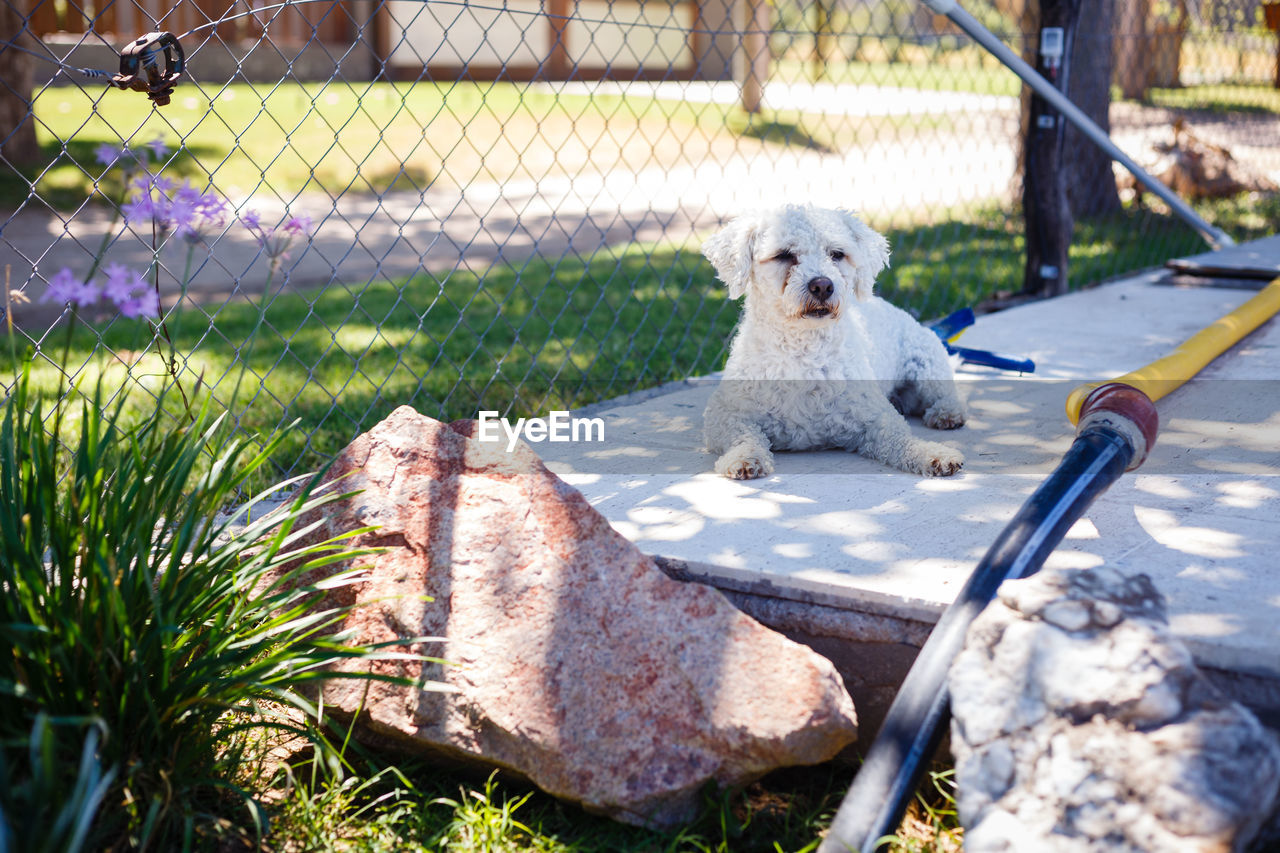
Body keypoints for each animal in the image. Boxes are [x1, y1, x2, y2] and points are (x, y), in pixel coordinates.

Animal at [706, 202, 962, 473]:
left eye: (837, 254)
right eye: (783, 254)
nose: (822, 285)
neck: (803, 351)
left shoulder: (876, 414)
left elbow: (900, 438)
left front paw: (932, 452)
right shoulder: (724, 413)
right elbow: (742, 437)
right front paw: (744, 458)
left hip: (926, 362)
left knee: (946, 392)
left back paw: (947, 412)